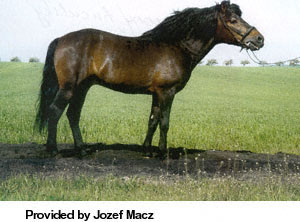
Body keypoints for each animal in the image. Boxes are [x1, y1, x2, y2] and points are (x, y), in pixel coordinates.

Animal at [35, 0, 264, 158]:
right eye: (233, 20)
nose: (259, 39)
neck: (176, 46)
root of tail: (61, 39)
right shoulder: (167, 92)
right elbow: (164, 122)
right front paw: (162, 153)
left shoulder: (156, 94)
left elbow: (152, 120)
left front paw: (147, 150)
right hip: (68, 88)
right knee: (55, 111)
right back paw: (53, 150)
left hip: (82, 88)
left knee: (73, 115)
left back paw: (81, 150)